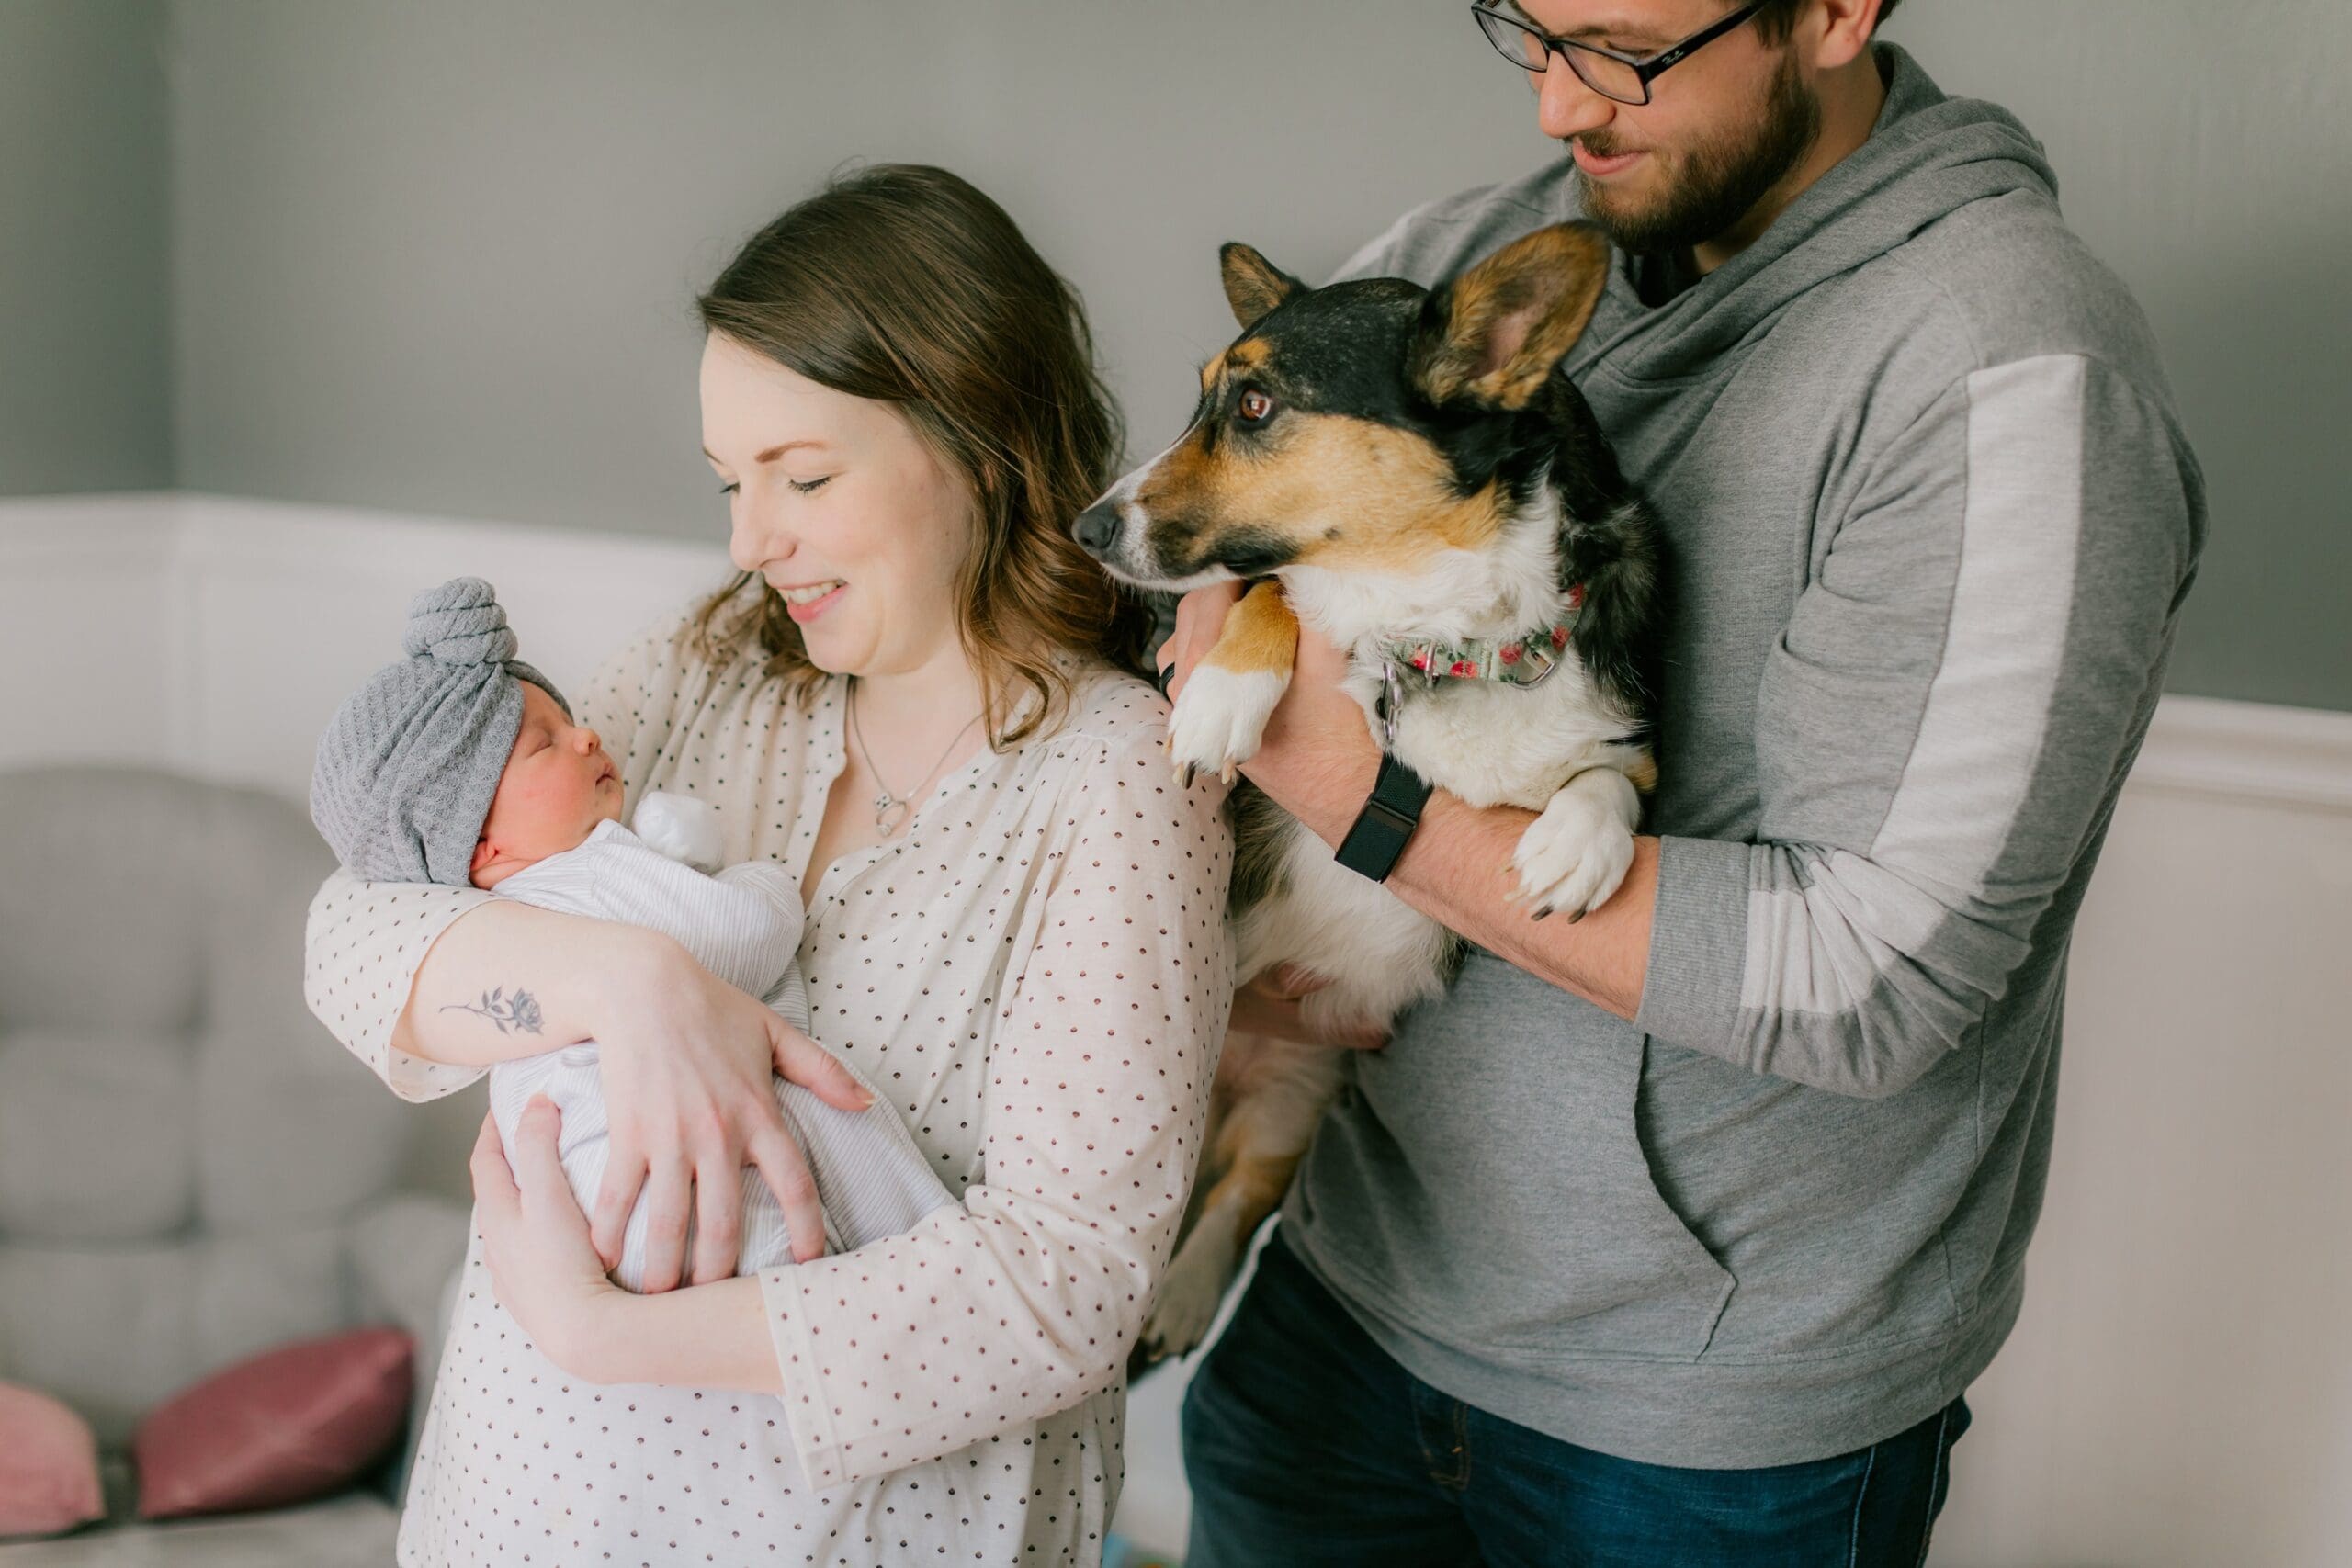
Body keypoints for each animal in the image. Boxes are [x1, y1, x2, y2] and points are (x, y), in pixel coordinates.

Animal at [1077, 220, 1665, 1363]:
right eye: (1205, 399)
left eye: (1257, 407)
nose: (1086, 528)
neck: (1444, 635)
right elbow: (1269, 590)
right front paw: (1222, 696)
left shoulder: (1631, 746)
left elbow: (1609, 780)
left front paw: (1579, 847)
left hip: (1296, 1101)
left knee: (1234, 1202)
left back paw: (1180, 1299)